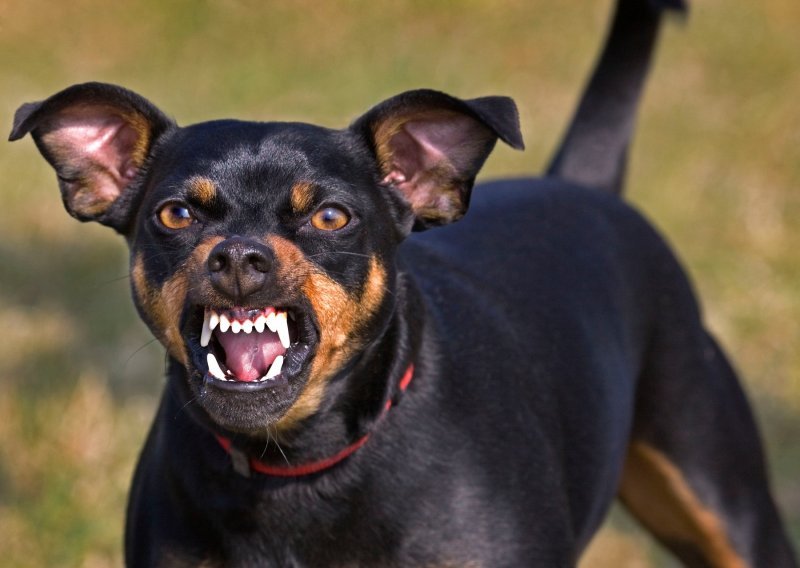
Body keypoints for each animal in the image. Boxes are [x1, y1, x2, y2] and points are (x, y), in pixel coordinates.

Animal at [9, 0, 796, 564]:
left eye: (331, 215)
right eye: (174, 213)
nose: (237, 257)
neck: (298, 466)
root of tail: (583, 185)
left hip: (726, 499)